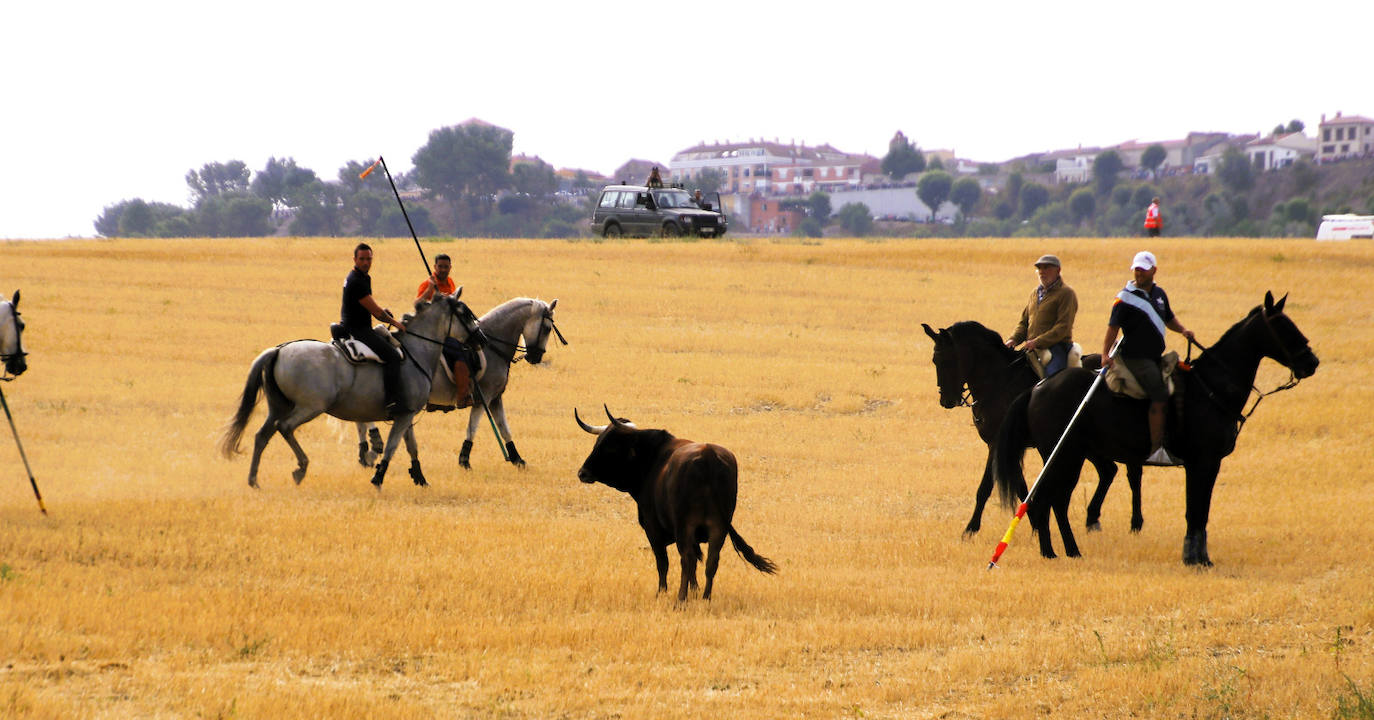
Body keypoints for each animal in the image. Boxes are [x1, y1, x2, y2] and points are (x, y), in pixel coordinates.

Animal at [222, 292, 480, 489]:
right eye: (465, 313)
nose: (482, 338)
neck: (415, 352)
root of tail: (279, 350)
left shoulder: (405, 415)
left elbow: (411, 447)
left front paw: (420, 478)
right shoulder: (404, 415)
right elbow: (392, 447)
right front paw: (378, 478)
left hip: (279, 406)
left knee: (262, 435)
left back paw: (254, 480)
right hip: (310, 407)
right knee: (284, 428)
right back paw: (301, 468)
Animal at [359, 296, 568, 469]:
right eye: (547, 328)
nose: (536, 357)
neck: (493, 346)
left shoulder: (495, 399)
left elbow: (504, 428)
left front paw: (517, 459)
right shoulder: (484, 398)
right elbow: (473, 427)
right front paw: (464, 460)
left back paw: (365, 451)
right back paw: (374, 443)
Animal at [1000, 292, 1319, 563]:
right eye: (1283, 326)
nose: (1312, 362)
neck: (1210, 388)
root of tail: (1038, 387)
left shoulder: (1207, 464)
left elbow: (1200, 511)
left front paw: (1198, 557)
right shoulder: (1203, 462)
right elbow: (1195, 511)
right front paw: (1195, 559)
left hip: (1071, 457)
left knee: (1056, 500)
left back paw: (1066, 552)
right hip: (1063, 456)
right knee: (1049, 499)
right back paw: (1054, 552)